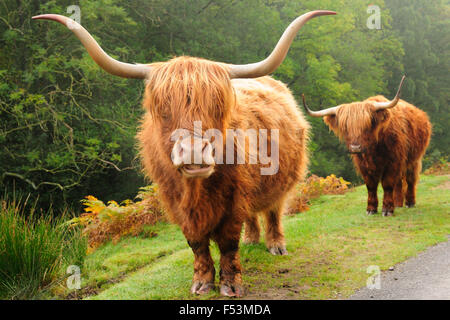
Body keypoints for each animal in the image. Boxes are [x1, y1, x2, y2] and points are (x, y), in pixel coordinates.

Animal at [33, 10, 336, 298]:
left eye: (217, 106)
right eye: (163, 109)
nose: (193, 152)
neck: (197, 191)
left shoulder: (234, 198)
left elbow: (228, 242)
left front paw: (231, 285)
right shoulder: (175, 202)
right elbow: (196, 243)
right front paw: (202, 283)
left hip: (283, 179)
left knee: (274, 210)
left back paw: (276, 246)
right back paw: (252, 240)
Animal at [302, 77, 432, 218]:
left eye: (367, 125)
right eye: (346, 127)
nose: (355, 147)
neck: (373, 150)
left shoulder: (393, 162)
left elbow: (387, 184)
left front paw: (387, 210)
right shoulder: (364, 166)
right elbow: (371, 186)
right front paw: (371, 209)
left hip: (413, 159)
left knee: (410, 179)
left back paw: (409, 202)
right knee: (398, 182)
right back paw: (398, 203)